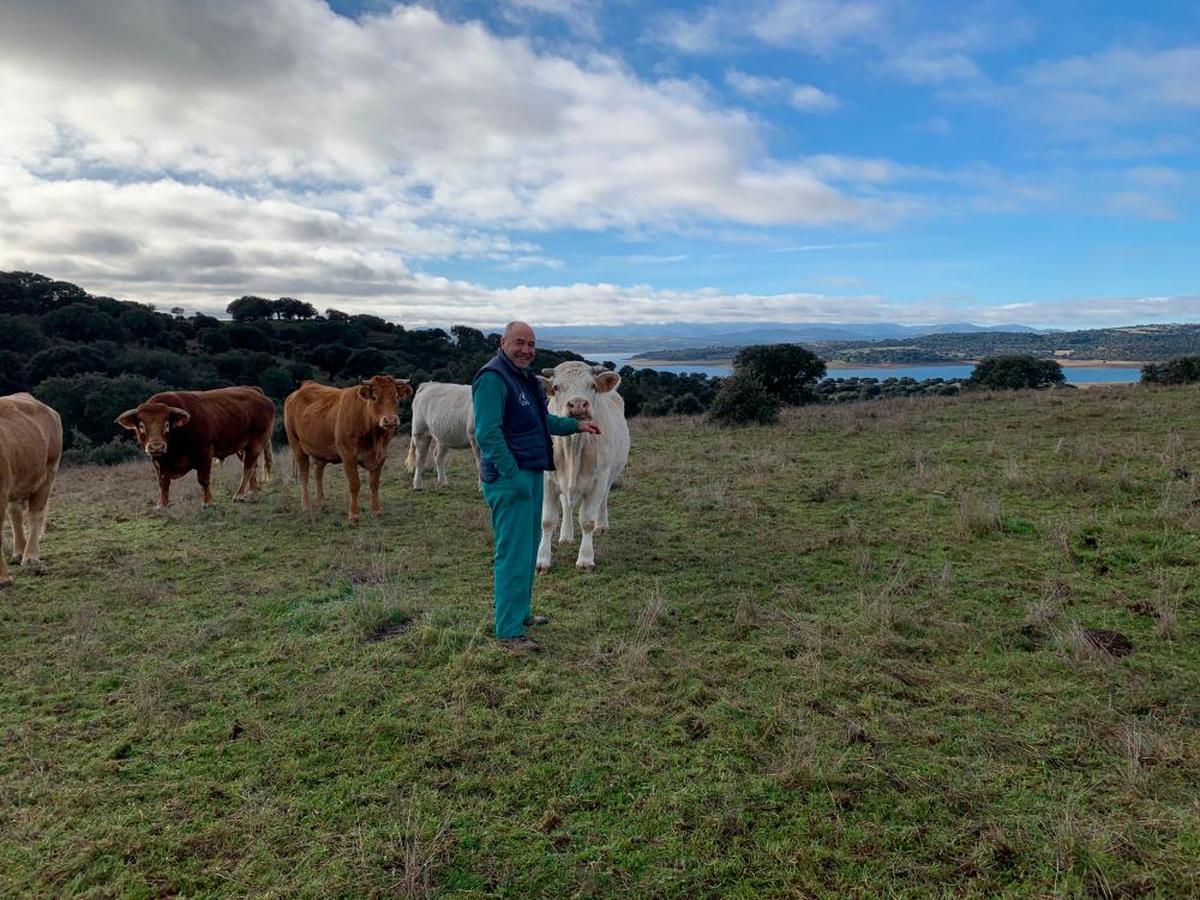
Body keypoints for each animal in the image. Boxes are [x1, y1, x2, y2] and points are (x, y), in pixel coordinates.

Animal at [0, 393, 62, 588]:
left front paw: (3, 577)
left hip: (48, 475)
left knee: (35, 515)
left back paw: (30, 557)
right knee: (16, 515)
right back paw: (19, 551)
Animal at [115, 388, 274, 513]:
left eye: (166, 424)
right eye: (141, 426)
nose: (156, 446)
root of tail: (257, 393)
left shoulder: (205, 454)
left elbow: (203, 480)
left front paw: (208, 502)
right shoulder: (158, 463)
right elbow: (163, 483)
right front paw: (162, 505)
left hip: (256, 442)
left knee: (247, 468)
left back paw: (240, 495)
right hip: (243, 447)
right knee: (252, 466)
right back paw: (253, 492)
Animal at [283, 374, 415, 528]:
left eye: (396, 397)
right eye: (374, 397)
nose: (390, 420)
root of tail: (303, 388)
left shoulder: (382, 456)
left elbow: (374, 483)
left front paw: (376, 511)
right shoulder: (348, 456)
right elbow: (354, 484)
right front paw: (353, 515)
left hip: (319, 449)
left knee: (318, 473)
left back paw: (321, 502)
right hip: (296, 444)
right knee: (304, 473)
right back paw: (306, 506)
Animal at [535, 360, 628, 571]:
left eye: (592, 386)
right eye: (556, 387)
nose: (578, 404)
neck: (573, 444)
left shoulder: (599, 479)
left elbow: (587, 521)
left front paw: (585, 559)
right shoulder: (547, 480)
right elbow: (547, 521)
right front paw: (542, 560)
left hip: (610, 475)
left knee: (603, 500)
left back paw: (602, 525)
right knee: (566, 504)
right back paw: (566, 536)